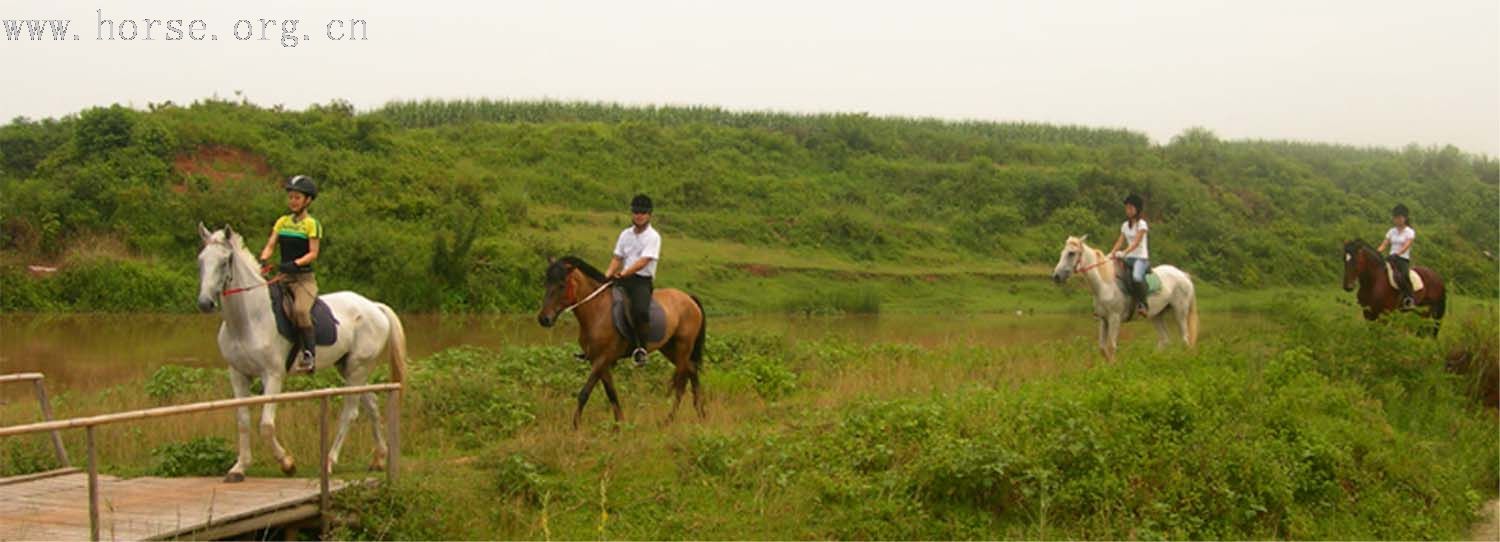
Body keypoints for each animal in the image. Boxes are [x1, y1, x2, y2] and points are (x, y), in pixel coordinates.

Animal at [193, 222, 408, 480]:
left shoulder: (272, 375)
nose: (205, 303)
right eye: (201, 260)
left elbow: (266, 424)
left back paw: (329, 461)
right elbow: (243, 420)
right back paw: (379, 458)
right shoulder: (238, 374)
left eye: (225, 261)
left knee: (350, 412)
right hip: (350, 369)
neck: (248, 320)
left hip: (358, 368)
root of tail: (374, 306)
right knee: (372, 405)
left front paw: (287, 463)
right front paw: (239, 468)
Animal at [537, 255, 705, 429]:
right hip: (669, 348)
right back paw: (700, 413)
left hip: (682, 347)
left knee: (681, 383)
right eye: (546, 283)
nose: (544, 319)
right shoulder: (599, 361)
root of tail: (689, 298)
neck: (597, 310)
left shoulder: (602, 358)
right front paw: (620, 425)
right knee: (692, 370)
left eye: (562, 285)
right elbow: (611, 393)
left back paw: (669, 420)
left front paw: (576, 426)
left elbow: (584, 393)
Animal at [1050, 234, 1200, 360]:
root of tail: (1183, 275)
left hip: (1180, 312)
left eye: (1071, 253)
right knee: (1165, 340)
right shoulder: (1104, 320)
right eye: (1062, 253)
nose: (1056, 276)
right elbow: (1102, 348)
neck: (1105, 285)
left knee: (1185, 339)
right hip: (1157, 315)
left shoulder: (1115, 319)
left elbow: (1111, 346)